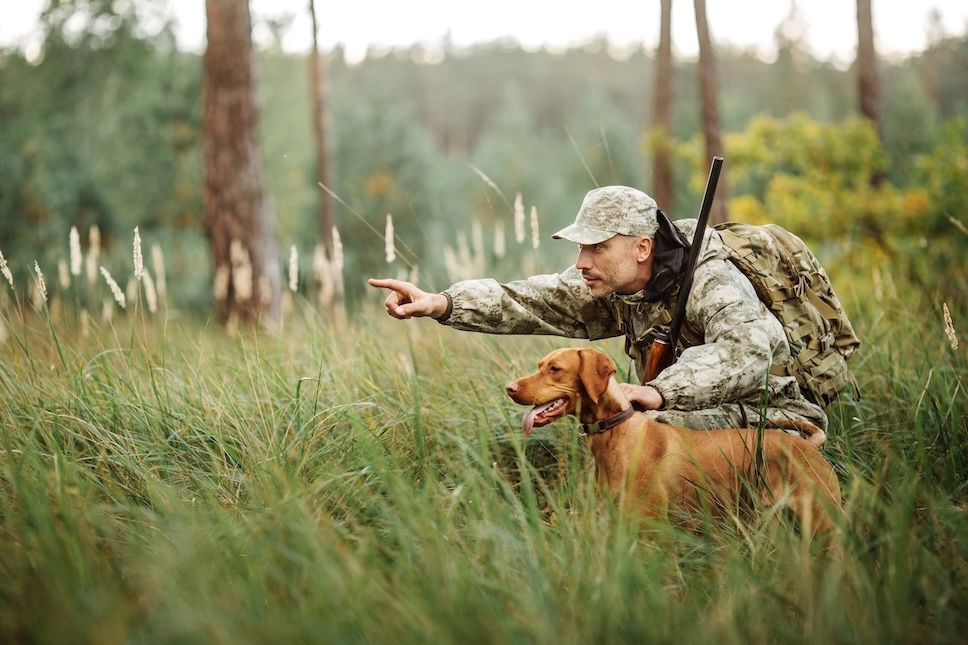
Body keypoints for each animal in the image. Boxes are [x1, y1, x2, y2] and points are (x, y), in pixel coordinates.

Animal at [506, 348, 840, 532]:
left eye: (555, 369)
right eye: (539, 365)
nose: (509, 388)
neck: (616, 432)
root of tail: (808, 446)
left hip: (823, 523)